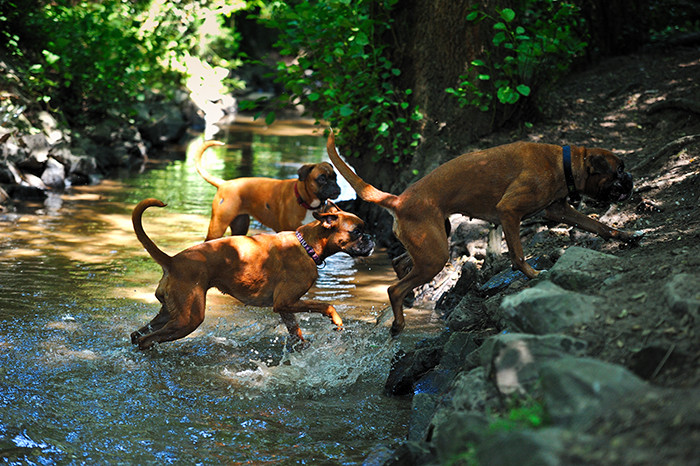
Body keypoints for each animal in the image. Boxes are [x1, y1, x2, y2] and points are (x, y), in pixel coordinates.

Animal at [129, 198, 374, 350]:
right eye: (356, 231)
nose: (371, 238)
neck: (307, 245)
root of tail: (172, 260)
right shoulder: (286, 301)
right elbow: (326, 305)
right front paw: (336, 321)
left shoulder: (285, 307)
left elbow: (296, 332)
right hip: (188, 319)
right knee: (146, 340)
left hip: (170, 313)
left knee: (137, 335)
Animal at [194, 140, 342, 238]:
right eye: (322, 179)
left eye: (335, 177)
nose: (336, 187)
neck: (305, 200)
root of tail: (224, 183)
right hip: (218, 226)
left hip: (240, 226)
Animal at [326, 131, 644, 334]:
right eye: (618, 171)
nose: (631, 178)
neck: (564, 163)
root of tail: (399, 199)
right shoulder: (509, 211)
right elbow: (518, 253)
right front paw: (532, 275)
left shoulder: (559, 210)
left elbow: (600, 226)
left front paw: (627, 237)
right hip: (435, 254)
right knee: (394, 288)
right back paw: (399, 323)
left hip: (432, 242)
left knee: (400, 263)